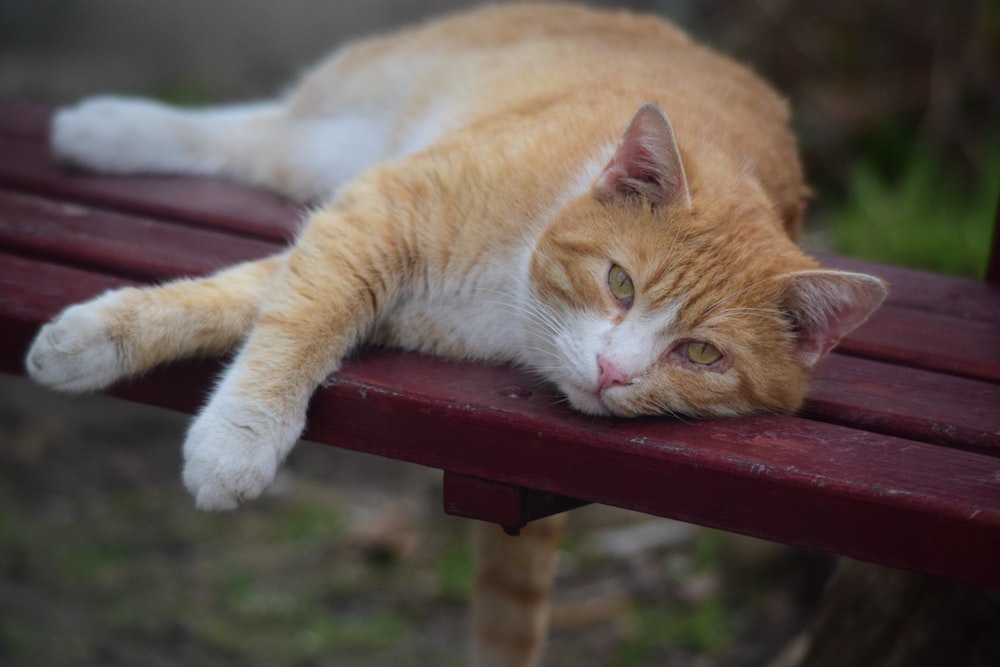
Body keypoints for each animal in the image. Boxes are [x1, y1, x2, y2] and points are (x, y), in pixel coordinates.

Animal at [21, 3, 884, 664]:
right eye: (621, 282)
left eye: (701, 353)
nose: (614, 371)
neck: (513, 289)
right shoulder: (379, 213)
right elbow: (301, 312)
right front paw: (234, 433)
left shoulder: (385, 280)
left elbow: (259, 297)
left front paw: (100, 346)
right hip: (365, 108)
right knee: (263, 124)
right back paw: (107, 126)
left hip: (330, 154)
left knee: (259, 142)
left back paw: (100, 129)